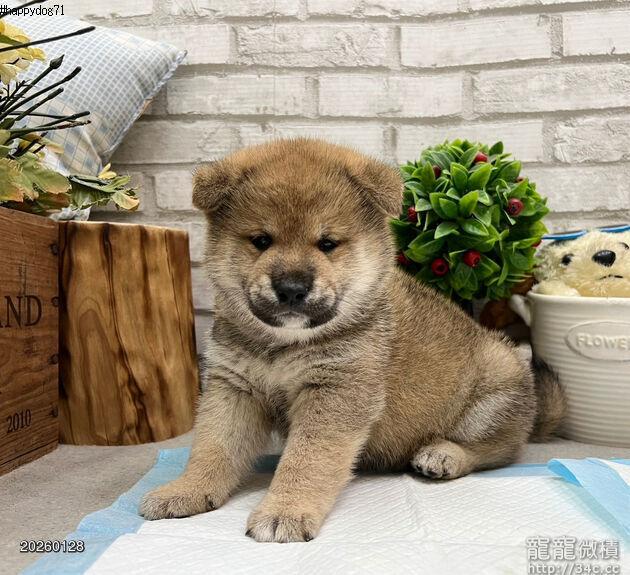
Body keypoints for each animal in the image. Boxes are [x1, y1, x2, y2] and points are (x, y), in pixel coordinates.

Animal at [140, 138, 565, 543]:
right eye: (261, 240)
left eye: (327, 243)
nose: (291, 288)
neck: (284, 345)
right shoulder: (234, 389)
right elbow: (212, 447)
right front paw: (186, 489)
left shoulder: (336, 392)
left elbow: (306, 461)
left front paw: (285, 511)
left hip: (493, 391)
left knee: (499, 450)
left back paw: (443, 455)